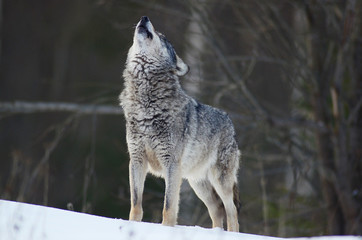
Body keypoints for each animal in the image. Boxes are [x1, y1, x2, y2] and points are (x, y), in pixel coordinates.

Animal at [119, 15, 240, 232]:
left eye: (162, 37)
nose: (144, 17)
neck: (146, 106)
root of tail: (230, 123)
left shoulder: (171, 164)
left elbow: (168, 205)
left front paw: (166, 230)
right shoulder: (136, 161)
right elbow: (136, 203)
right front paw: (133, 226)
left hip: (219, 181)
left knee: (231, 210)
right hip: (197, 183)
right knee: (217, 209)